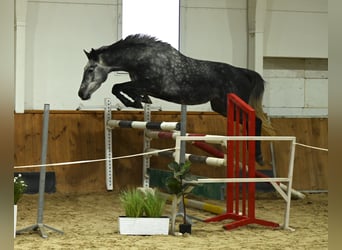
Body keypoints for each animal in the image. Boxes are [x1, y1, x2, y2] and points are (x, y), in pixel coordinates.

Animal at [77, 33, 272, 166]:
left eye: (90, 69)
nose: (82, 94)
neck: (143, 59)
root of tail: (243, 72)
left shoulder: (152, 84)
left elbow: (118, 87)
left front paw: (136, 101)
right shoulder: (144, 86)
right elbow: (122, 89)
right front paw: (140, 100)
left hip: (230, 104)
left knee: (256, 121)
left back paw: (258, 156)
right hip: (221, 106)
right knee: (250, 123)